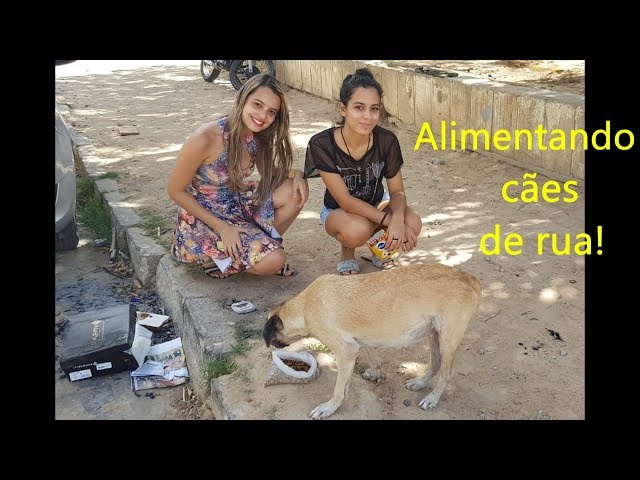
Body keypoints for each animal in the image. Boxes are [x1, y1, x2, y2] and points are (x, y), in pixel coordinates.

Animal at [262, 264, 480, 418]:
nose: (273, 346)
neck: (305, 305)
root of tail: (469, 277)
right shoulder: (359, 341)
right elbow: (372, 356)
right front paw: (375, 373)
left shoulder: (346, 350)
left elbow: (339, 389)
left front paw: (330, 407)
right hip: (433, 335)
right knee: (435, 364)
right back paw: (420, 383)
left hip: (447, 341)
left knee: (445, 374)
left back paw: (433, 398)